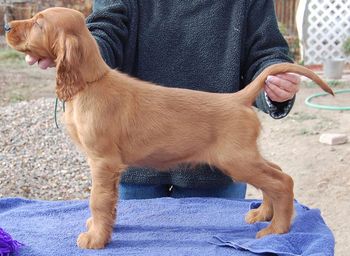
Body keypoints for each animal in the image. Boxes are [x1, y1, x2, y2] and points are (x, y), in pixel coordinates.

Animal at [4, 7, 334, 249]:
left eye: (38, 23)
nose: (6, 27)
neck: (88, 85)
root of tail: (237, 98)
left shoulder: (102, 161)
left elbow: (97, 200)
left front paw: (95, 239)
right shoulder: (108, 167)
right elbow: (109, 202)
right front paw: (104, 229)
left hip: (236, 159)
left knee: (282, 181)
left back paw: (277, 230)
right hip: (245, 156)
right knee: (276, 173)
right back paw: (264, 213)